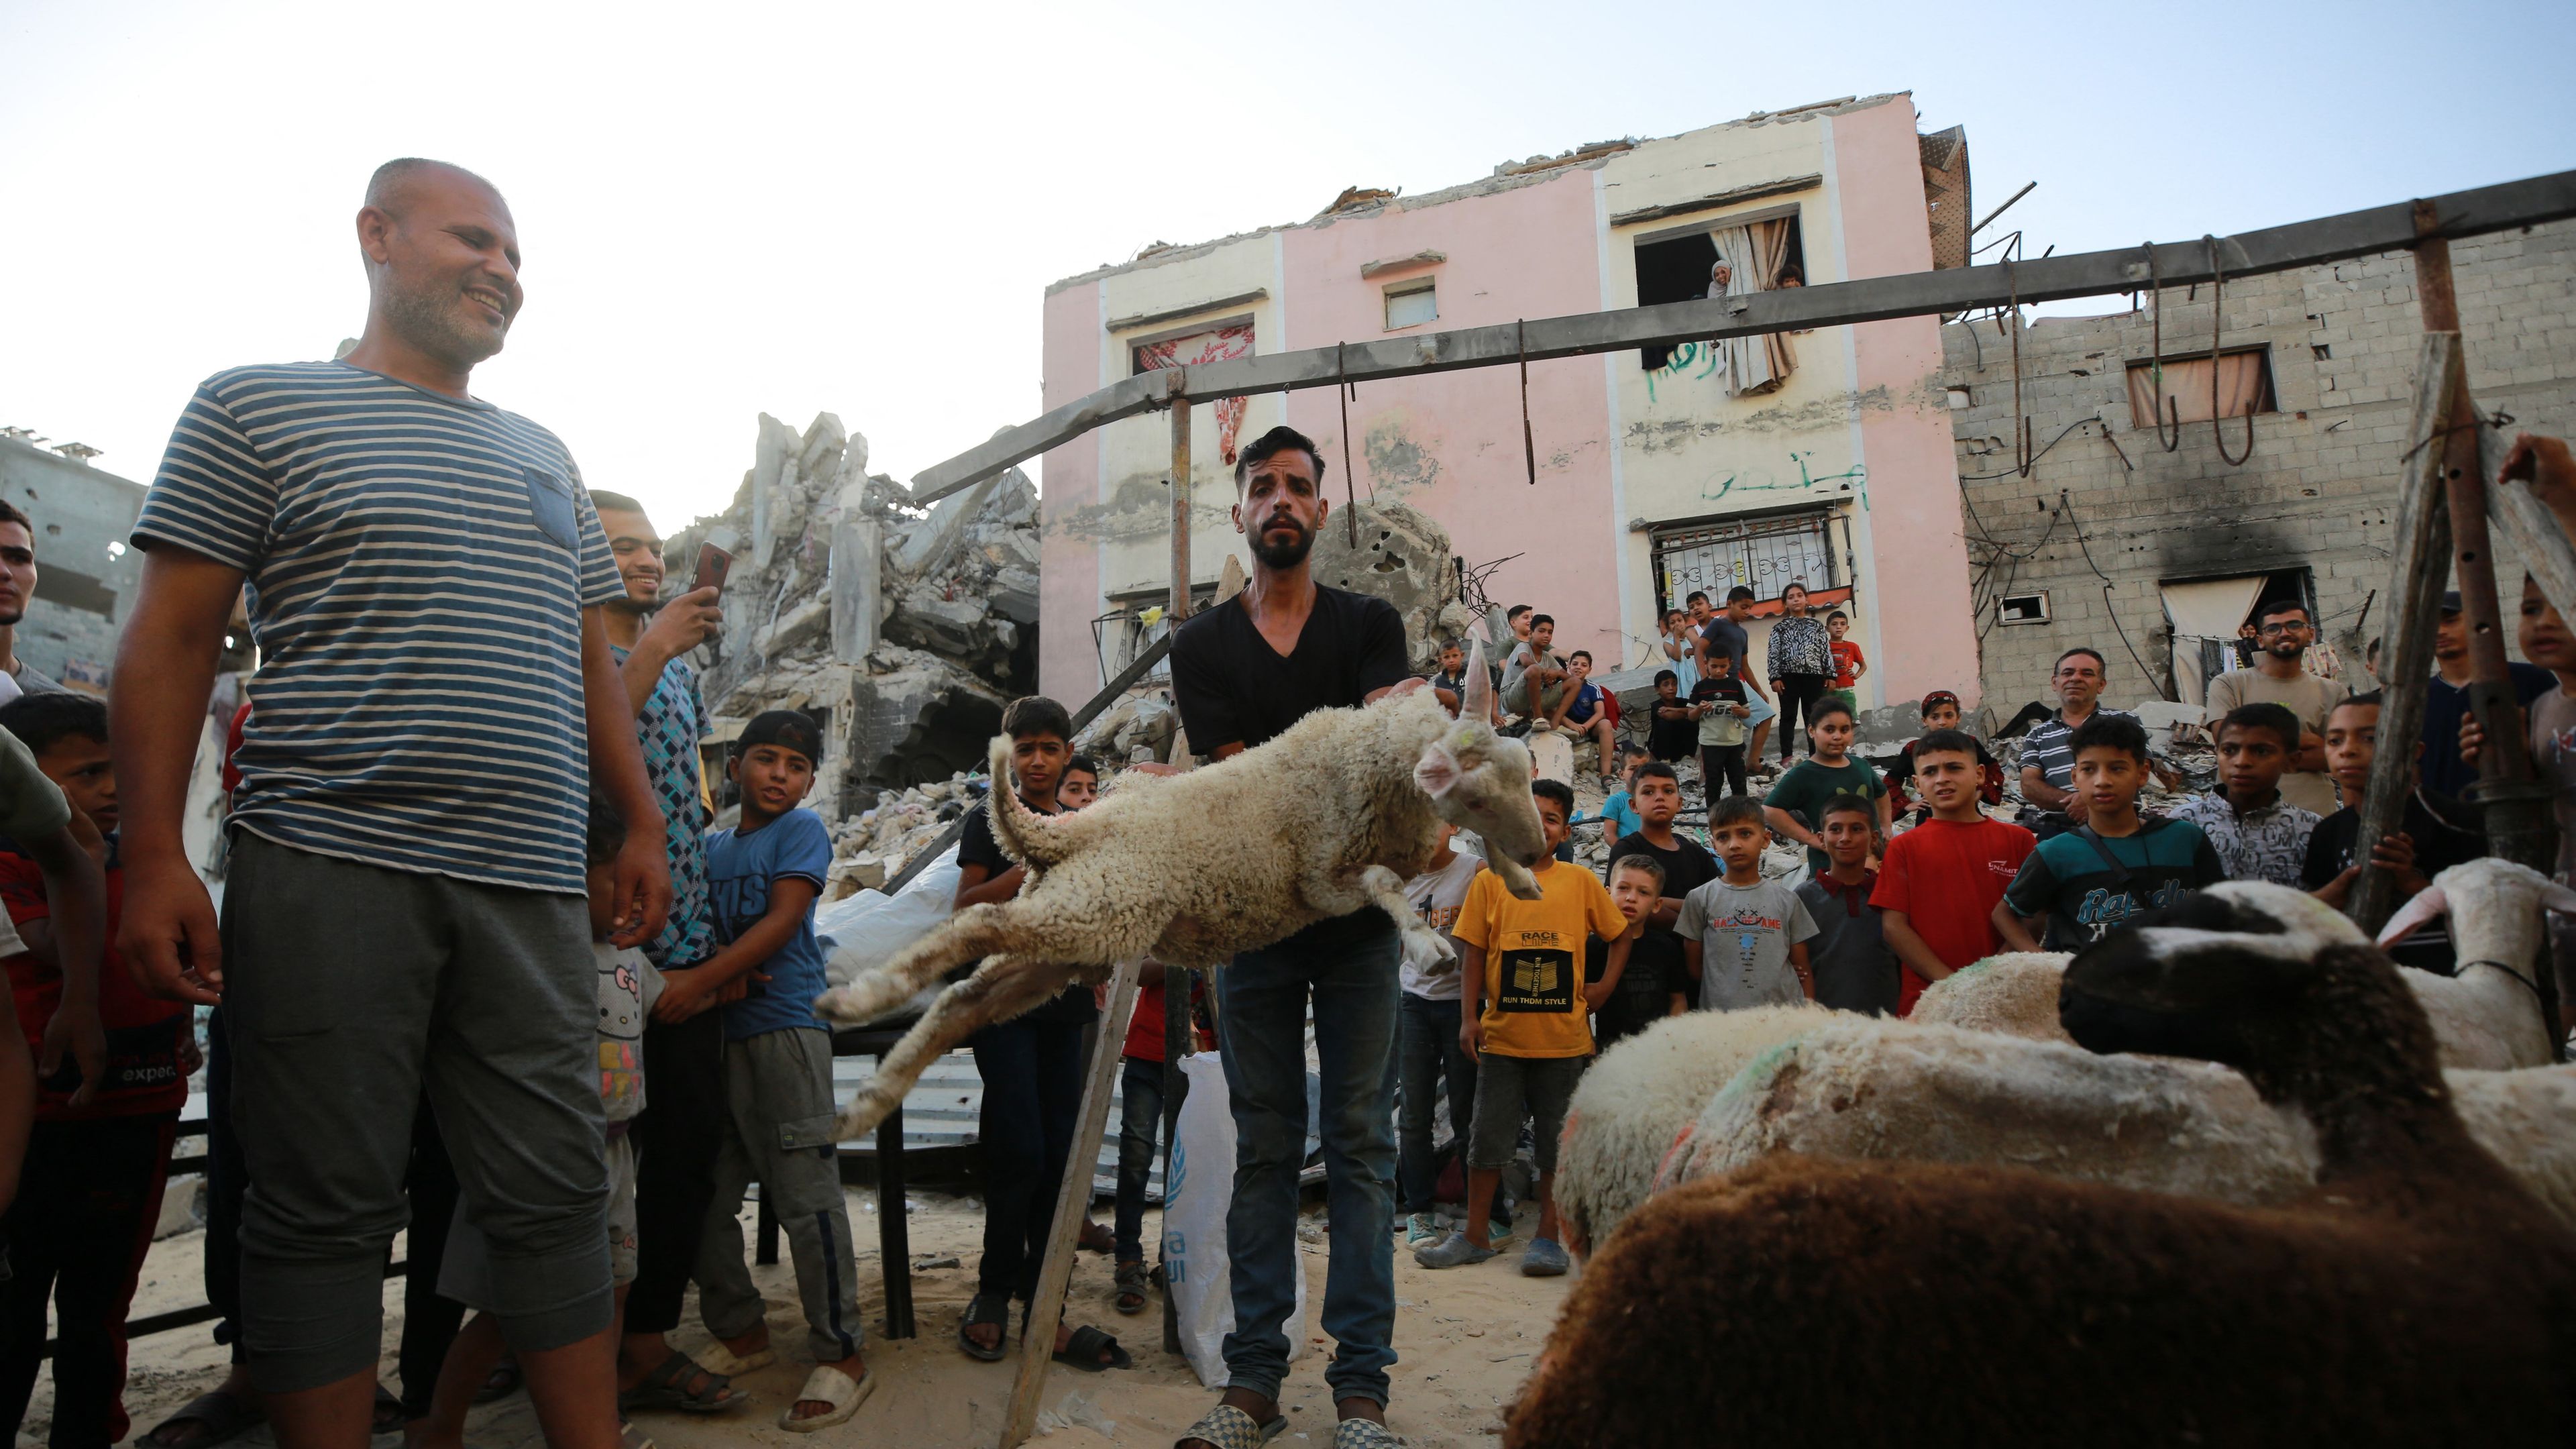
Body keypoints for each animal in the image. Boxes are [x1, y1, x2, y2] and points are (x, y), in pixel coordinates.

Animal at [819, 642, 1546, 1139]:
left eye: (1525, 771)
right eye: (1477, 794)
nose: (1542, 846)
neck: (1370, 763)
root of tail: (1065, 831)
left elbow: (1475, 855)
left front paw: (1519, 877)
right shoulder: (1321, 875)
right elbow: (1386, 883)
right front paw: (1427, 945)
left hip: (1073, 933)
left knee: (965, 999)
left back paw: (865, 1105)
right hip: (1097, 907)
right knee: (976, 926)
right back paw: (859, 998)